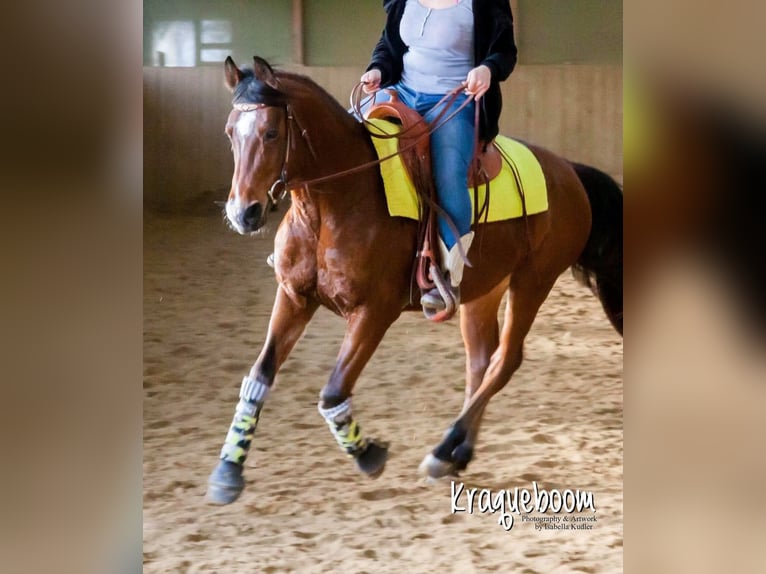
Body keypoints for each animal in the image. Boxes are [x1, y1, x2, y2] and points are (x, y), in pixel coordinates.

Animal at [207, 56, 622, 505]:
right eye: (230, 132)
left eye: (270, 132)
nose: (243, 213)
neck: (337, 199)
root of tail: (569, 171)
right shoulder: (294, 296)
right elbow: (259, 375)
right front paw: (228, 469)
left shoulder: (374, 312)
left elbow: (333, 391)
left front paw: (368, 454)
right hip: (484, 289)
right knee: (481, 361)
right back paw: (458, 453)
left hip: (534, 280)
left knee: (504, 360)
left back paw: (444, 448)